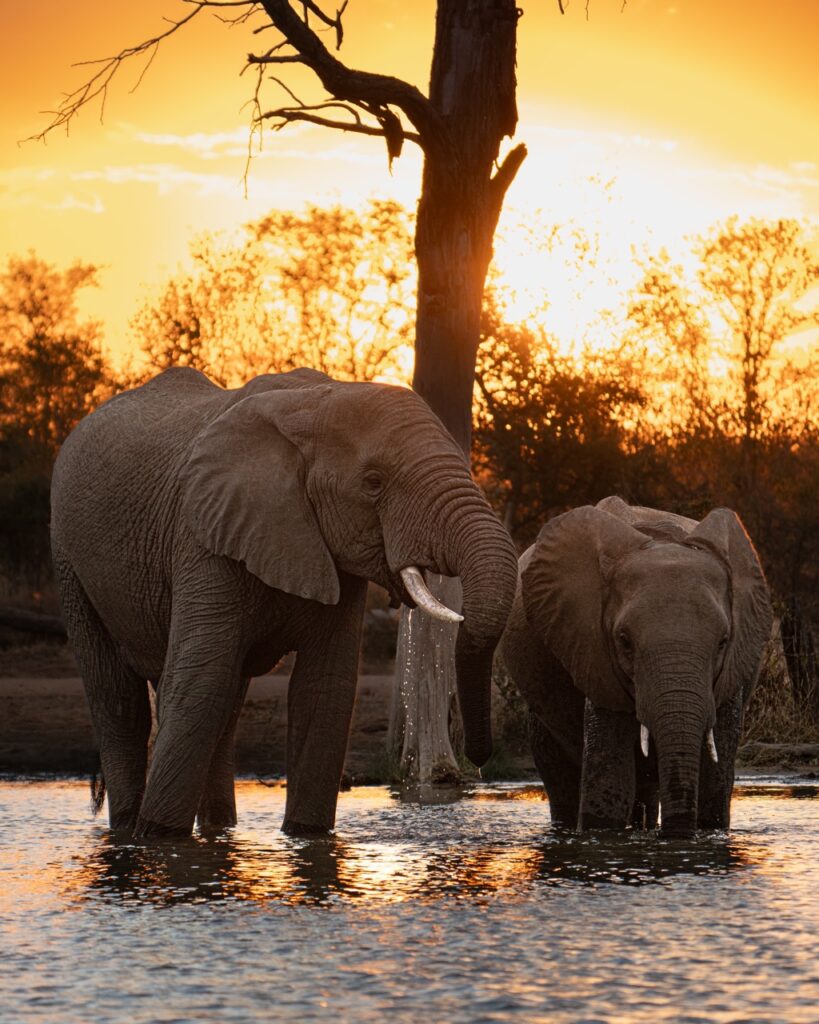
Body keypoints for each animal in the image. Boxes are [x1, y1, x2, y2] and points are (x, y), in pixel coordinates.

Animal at [51, 367, 518, 838]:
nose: (478, 762)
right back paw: (128, 830)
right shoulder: (203, 538)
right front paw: (159, 838)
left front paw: (305, 836)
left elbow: (324, 690)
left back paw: (220, 829)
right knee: (122, 702)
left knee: (225, 703)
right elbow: (199, 683)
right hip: (69, 560)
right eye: (373, 483)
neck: (317, 402)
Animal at [500, 496, 772, 837]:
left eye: (723, 642)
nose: (676, 837)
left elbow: (714, 786)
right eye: (624, 641)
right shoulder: (593, 650)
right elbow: (609, 781)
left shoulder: (730, 675)